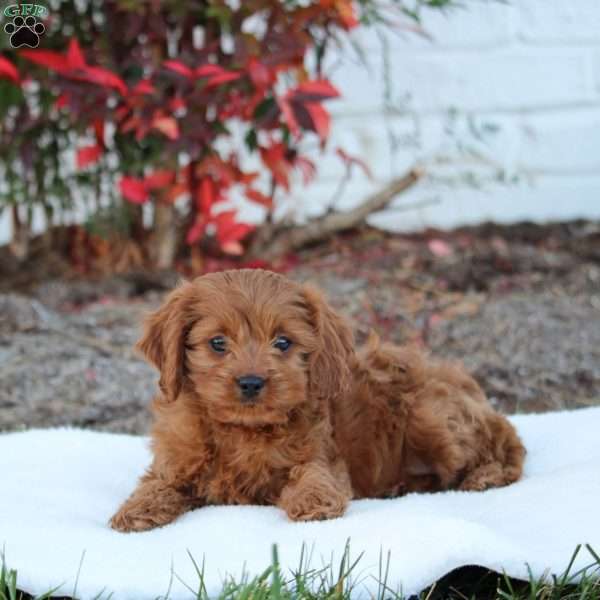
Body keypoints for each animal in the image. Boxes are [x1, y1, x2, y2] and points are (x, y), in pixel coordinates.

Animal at [110, 270, 524, 532]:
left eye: (282, 342)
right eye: (217, 343)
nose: (251, 382)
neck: (243, 430)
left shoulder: (322, 454)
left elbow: (314, 474)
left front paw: (313, 501)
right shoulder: (176, 461)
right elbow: (156, 482)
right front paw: (135, 509)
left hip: (433, 419)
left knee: (506, 448)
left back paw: (485, 476)